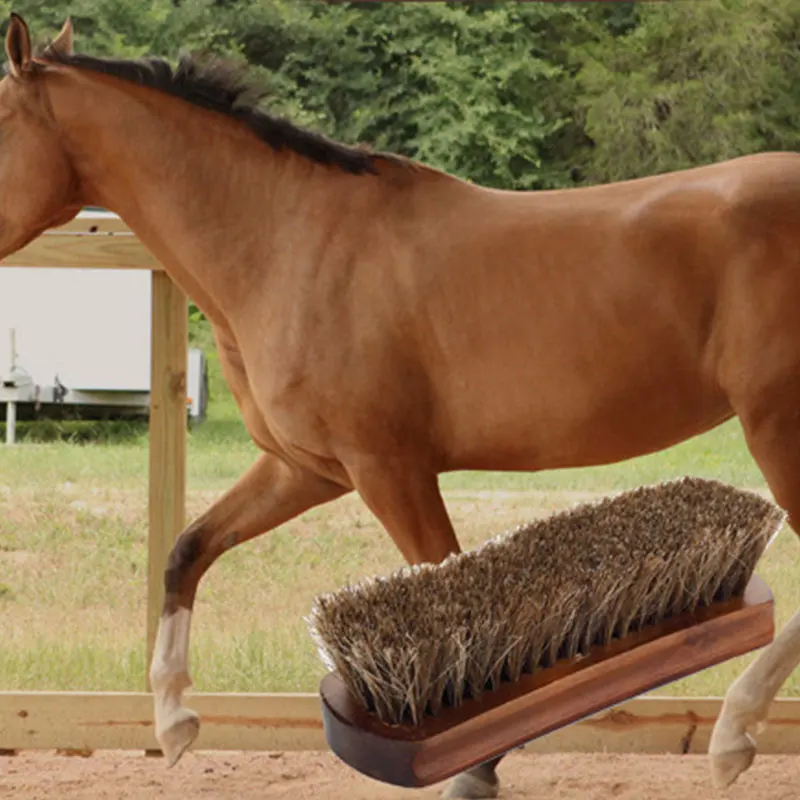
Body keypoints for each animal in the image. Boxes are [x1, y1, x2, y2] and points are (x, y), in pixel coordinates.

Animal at [1, 12, 800, 800]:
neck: (287, 243)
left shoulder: (389, 470)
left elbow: (456, 601)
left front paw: (474, 768)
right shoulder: (305, 469)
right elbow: (186, 550)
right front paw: (173, 724)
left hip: (775, 426)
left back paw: (732, 738)